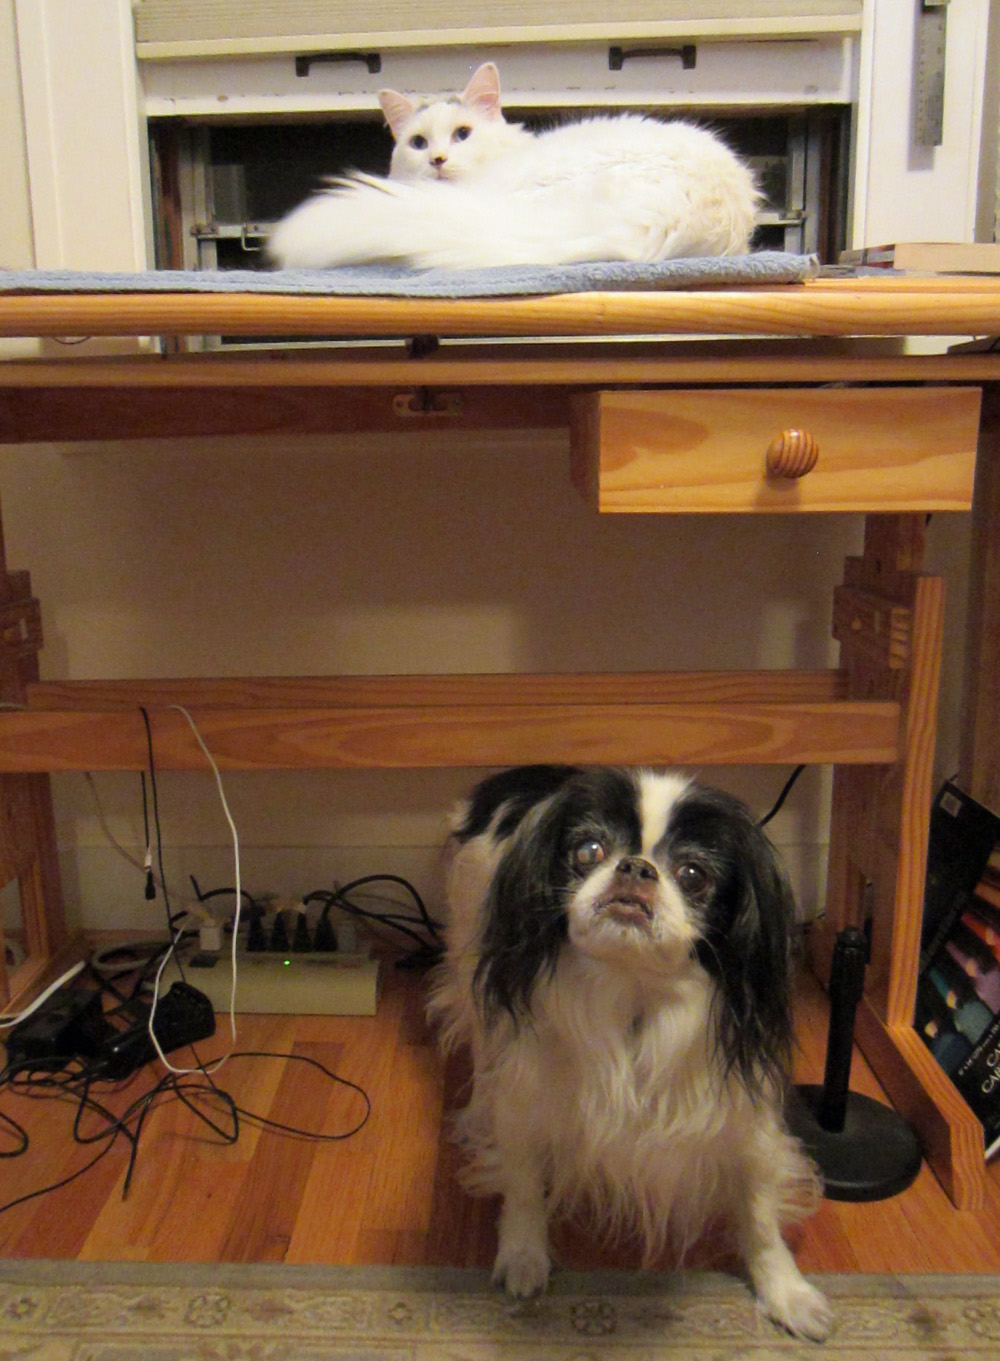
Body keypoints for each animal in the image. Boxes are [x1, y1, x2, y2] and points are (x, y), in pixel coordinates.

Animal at [429, 764, 832, 1341]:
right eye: (589, 850)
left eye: (693, 874)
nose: (636, 867)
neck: (632, 993)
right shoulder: (528, 1100)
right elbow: (524, 1184)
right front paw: (524, 1257)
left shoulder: (743, 1121)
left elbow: (758, 1213)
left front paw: (787, 1293)